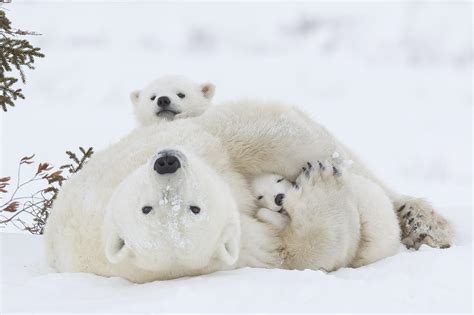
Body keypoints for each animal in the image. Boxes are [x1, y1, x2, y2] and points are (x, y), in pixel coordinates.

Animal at [44, 101, 452, 284]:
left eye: (191, 206)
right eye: (149, 209)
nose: (167, 162)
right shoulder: (239, 250)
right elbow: (298, 252)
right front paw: (318, 185)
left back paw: (423, 221)